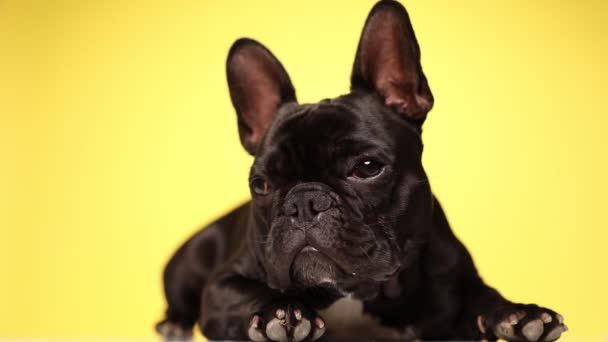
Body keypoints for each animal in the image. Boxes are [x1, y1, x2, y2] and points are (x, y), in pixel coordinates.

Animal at [154, 1, 568, 340]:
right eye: (262, 185)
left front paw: (519, 314)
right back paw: (174, 325)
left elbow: (484, 296)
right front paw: (281, 313)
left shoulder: (457, 277)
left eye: (368, 168)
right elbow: (251, 292)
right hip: (189, 260)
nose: (303, 202)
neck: (356, 291)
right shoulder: (222, 288)